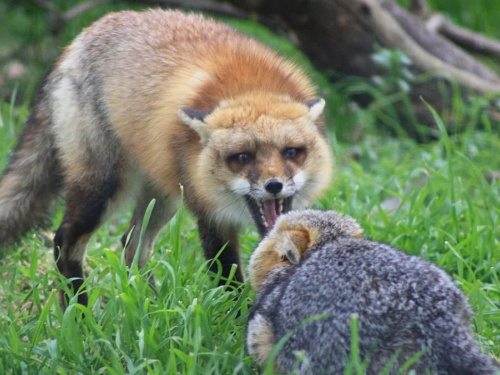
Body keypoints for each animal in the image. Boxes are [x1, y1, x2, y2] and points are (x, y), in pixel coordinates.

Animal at [0, 9, 336, 308]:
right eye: (242, 156)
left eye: (291, 152)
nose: (274, 185)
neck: (251, 86)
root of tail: (80, 38)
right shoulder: (210, 214)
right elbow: (228, 280)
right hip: (103, 187)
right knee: (64, 242)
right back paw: (80, 315)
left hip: (163, 195)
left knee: (131, 244)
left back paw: (150, 306)